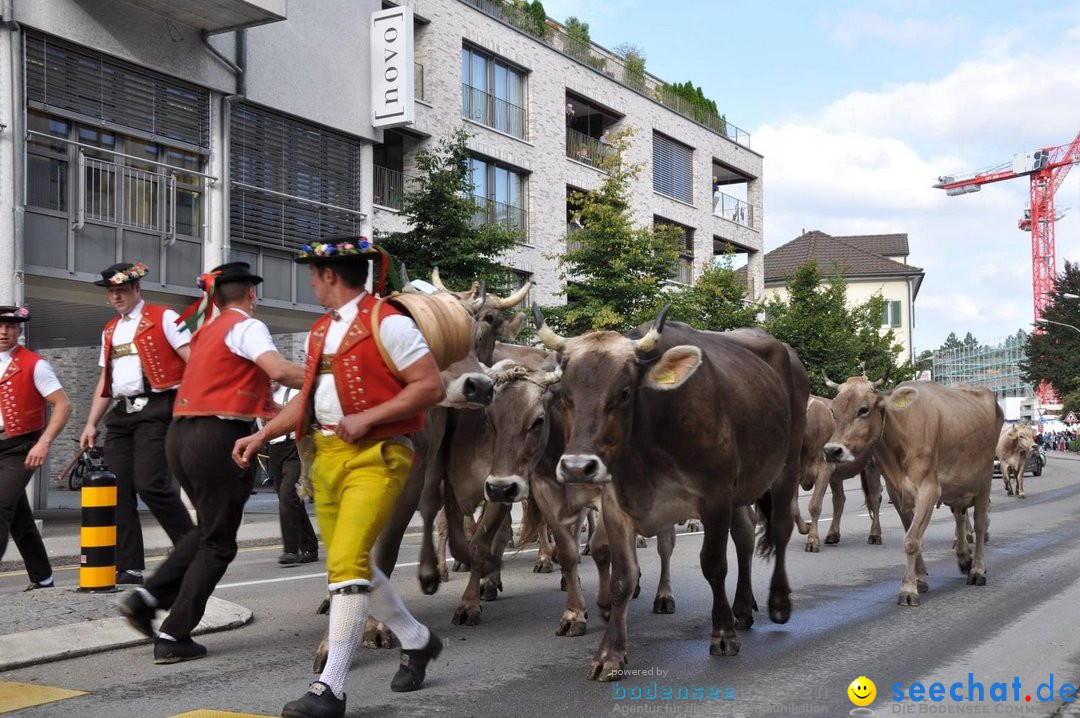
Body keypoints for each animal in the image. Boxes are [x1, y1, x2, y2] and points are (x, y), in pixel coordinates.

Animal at [535, 304, 807, 682]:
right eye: (565, 396)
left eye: (624, 393)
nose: (577, 468)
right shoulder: (615, 505)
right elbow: (622, 579)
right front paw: (610, 654)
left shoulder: (715, 497)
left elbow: (714, 565)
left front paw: (722, 634)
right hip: (741, 490)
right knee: (744, 539)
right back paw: (742, 607)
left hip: (786, 467)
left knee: (780, 531)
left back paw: (778, 603)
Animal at [794, 395, 885, 550]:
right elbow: (793, 507)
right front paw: (806, 528)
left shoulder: (825, 469)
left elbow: (814, 505)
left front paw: (812, 541)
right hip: (836, 476)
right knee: (839, 499)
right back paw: (832, 535)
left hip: (872, 465)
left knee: (875, 497)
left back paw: (874, 535)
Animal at [825, 375, 1002, 604]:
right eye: (833, 411)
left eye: (863, 409)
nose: (831, 451)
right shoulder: (897, 494)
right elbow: (913, 535)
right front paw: (920, 579)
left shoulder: (929, 490)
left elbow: (911, 540)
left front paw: (908, 589)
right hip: (957, 486)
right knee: (959, 516)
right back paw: (964, 558)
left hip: (984, 480)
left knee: (980, 524)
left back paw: (977, 570)